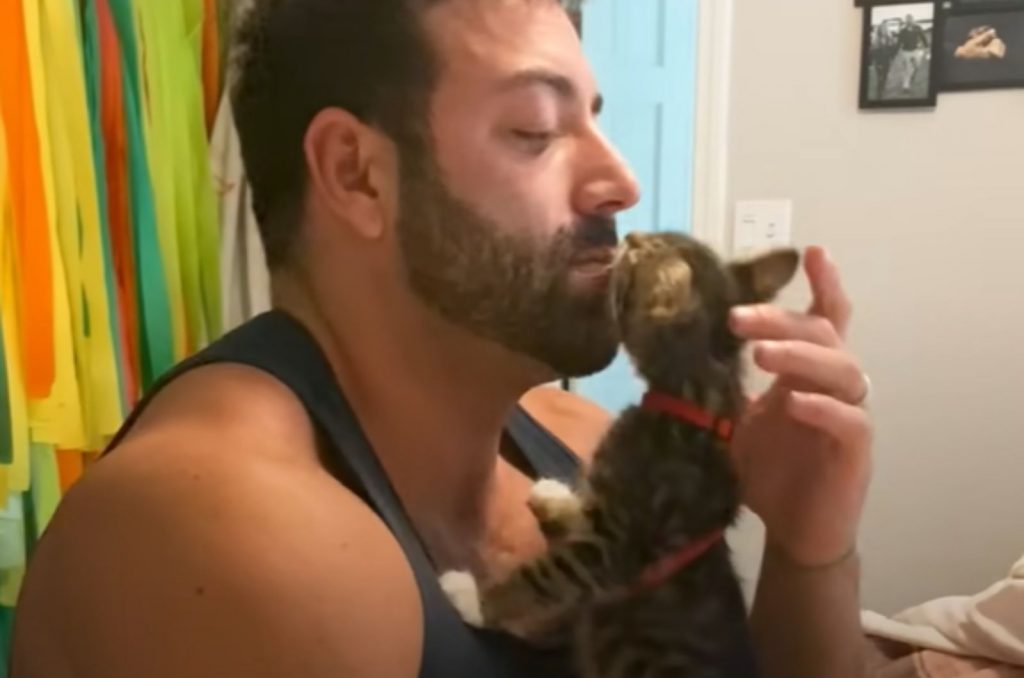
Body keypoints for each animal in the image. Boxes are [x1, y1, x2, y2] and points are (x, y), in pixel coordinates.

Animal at [440, 231, 798, 675]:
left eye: (641, 252)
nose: (629, 235)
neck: (695, 402)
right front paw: (557, 498)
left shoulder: (614, 546)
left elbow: (546, 575)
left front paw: (476, 599)